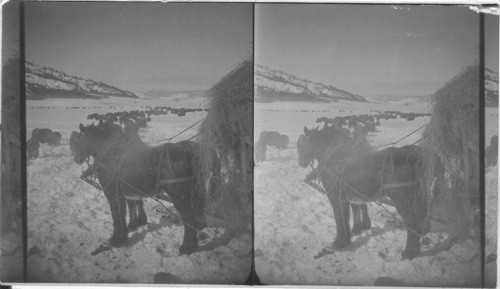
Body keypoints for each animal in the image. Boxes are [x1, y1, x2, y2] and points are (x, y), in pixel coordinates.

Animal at [73, 121, 212, 254]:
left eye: (79, 138)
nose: (76, 159)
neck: (108, 155)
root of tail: (192, 154)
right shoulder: (123, 194)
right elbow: (124, 213)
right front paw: (125, 234)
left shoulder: (112, 194)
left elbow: (116, 217)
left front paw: (116, 239)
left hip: (180, 197)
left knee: (189, 220)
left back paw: (186, 248)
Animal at [298, 126, 428, 258]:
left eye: (302, 143)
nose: (300, 162)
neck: (332, 158)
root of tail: (413, 157)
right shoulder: (348, 197)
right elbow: (348, 216)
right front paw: (348, 238)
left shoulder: (335, 198)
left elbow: (339, 219)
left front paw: (339, 243)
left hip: (402, 200)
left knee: (412, 223)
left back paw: (409, 252)